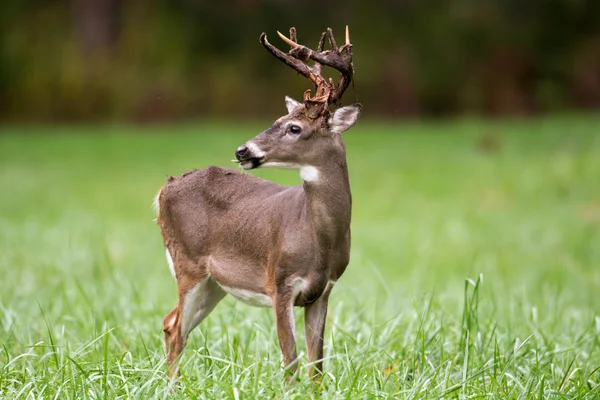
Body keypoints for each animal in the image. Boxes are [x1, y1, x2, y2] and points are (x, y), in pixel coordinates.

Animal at [155, 26, 360, 380]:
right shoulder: (279, 282)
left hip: (215, 282)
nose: (242, 151)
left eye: (294, 127)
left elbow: (316, 365)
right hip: (187, 263)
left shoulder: (323, 290)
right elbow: (291, 362)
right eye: (278, 119)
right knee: (176, 328)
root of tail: (163, 190)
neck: (318, 238)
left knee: (172, 324)